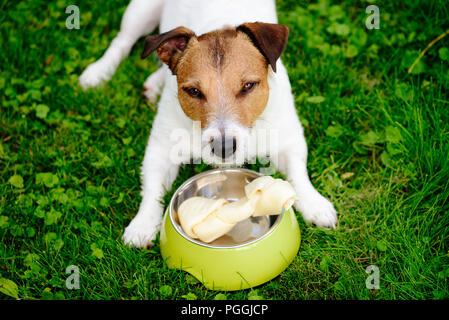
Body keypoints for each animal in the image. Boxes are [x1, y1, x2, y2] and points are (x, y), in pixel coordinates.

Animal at [79, 0, 336, 248]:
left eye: (248, 86)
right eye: (193, 91)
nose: (224, 147)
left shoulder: (289, 138)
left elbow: (298, 172)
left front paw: (315, 204)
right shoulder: (160, 149)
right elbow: (152, 189)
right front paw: (142, 224)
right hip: (140, 11)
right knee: (122, 41)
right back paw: (98, 72)